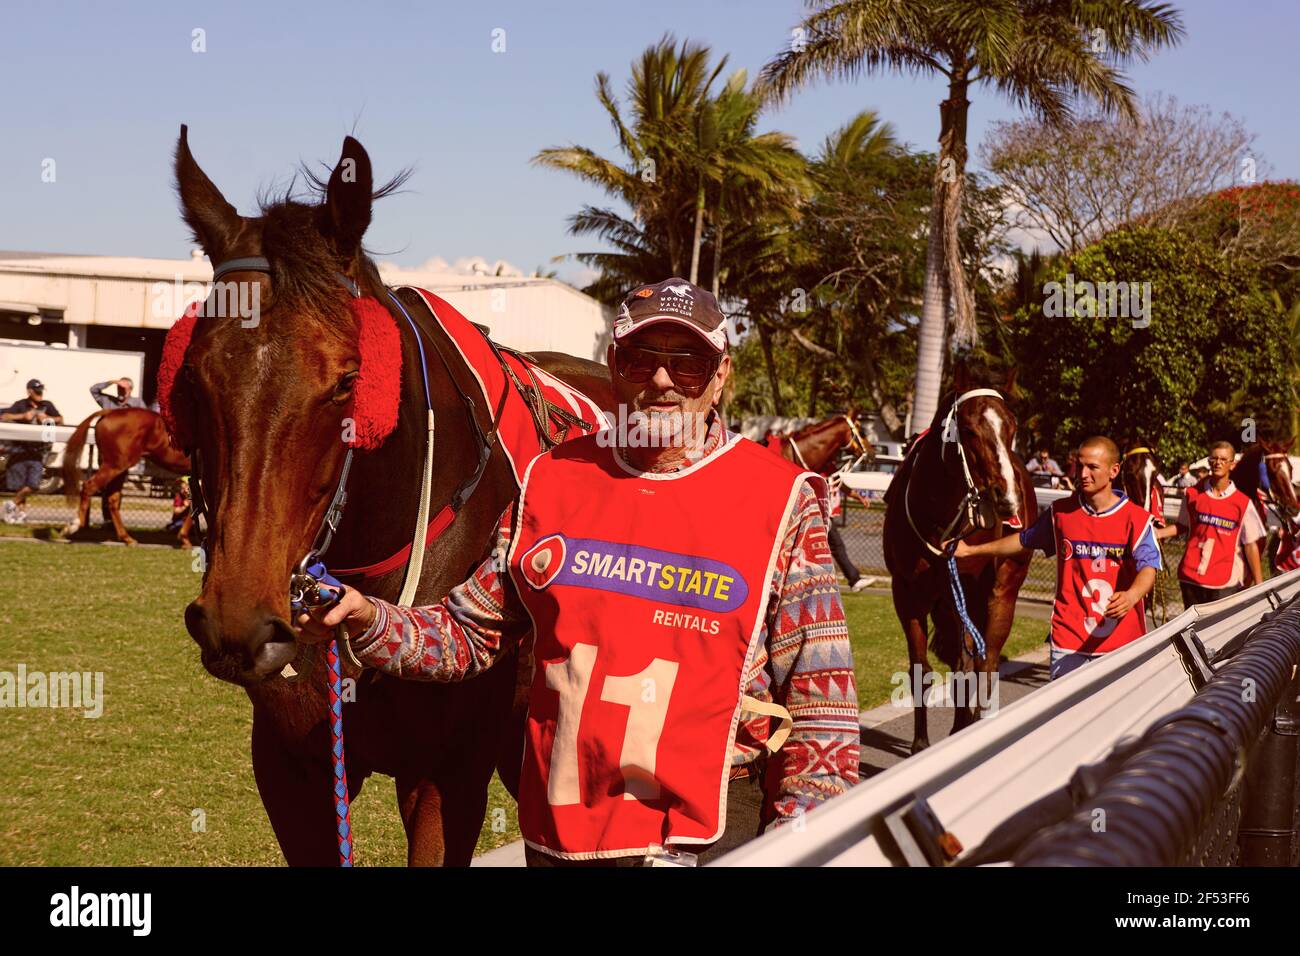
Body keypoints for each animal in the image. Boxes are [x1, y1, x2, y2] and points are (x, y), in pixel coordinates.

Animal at [61, 408, 192, 548]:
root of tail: (110, 412)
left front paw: (184, 538)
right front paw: (184, 538)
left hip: (119, 469)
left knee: (112, 499)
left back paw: (127, 538)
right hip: (114, 466)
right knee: (89, 486)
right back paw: (73, 527)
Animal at [883, 369, 1034, 749]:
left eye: (1012, 427)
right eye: (967, 429)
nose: (1007, 497)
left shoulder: (963, 592)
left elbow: (971, 664)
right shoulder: (906, 594)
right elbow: (921, 670)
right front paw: (921, 745)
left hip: (998, 592)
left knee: (986, 662)